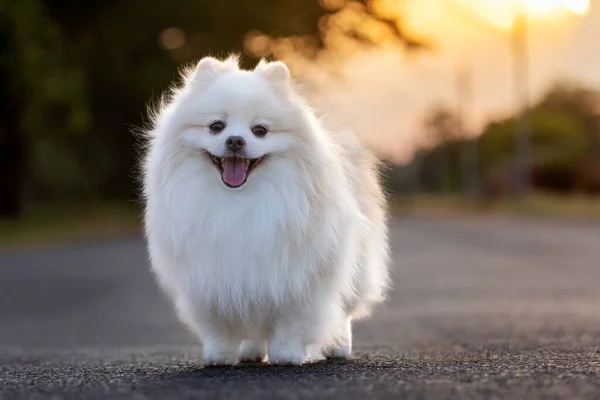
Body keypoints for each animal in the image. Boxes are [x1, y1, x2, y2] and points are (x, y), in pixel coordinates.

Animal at [143, 54, 392, 368]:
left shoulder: (298, 279)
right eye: (216, 126)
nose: (235, 140)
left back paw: (338, 347)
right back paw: (251, 352)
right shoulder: (210, 278)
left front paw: (286, 355)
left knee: (344, 310)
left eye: (259, 130)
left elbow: (290, 324)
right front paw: (219, 356)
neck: (239, 201)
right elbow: (218, 326)